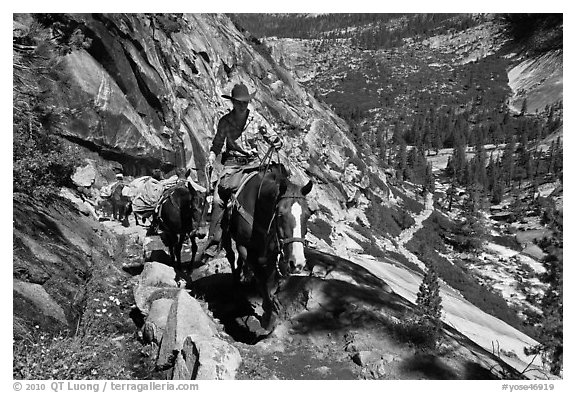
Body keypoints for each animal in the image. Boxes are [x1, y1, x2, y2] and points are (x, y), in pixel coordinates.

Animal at [220, 165, 312, 330]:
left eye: (308, 214)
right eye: (280, 214)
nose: (297, 263)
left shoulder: (272, 250)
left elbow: (268, 279)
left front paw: (270, 308)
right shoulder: (244, 247)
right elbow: (261, 277)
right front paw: (268, 314)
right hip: (225, 231)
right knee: (231, 257)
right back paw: (237, 284)